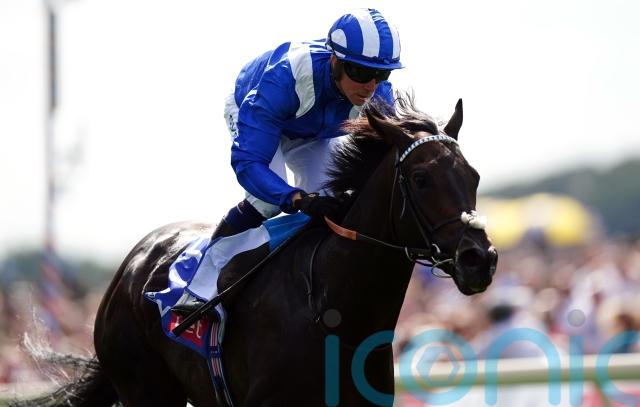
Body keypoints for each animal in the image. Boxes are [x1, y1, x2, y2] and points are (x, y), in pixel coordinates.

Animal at [13, 95, 497, 406]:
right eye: (421, 178)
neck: (334, 311)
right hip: (144, 387)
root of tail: (131, 264)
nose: (480, 259)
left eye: (473, 176)